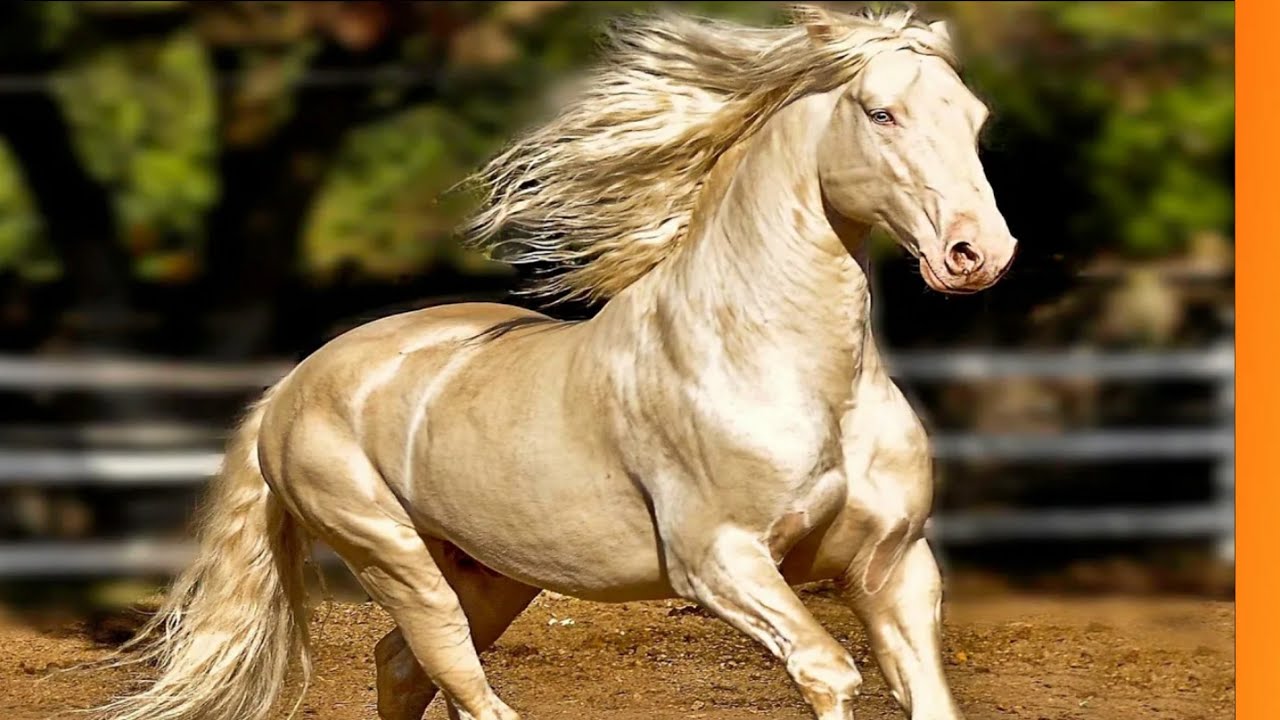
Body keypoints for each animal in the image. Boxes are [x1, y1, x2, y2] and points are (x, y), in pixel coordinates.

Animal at [88, 5, 1018, 720]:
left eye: (975, 117)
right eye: (881, 113)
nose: (978, 254)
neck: (784, 368)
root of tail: (290, 385)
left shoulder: (893, 566)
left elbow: (929, 698)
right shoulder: (721, 561)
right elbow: (827, 671)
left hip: (491, 575)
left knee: (401, 668)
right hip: (394, 558)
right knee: (460, 686)